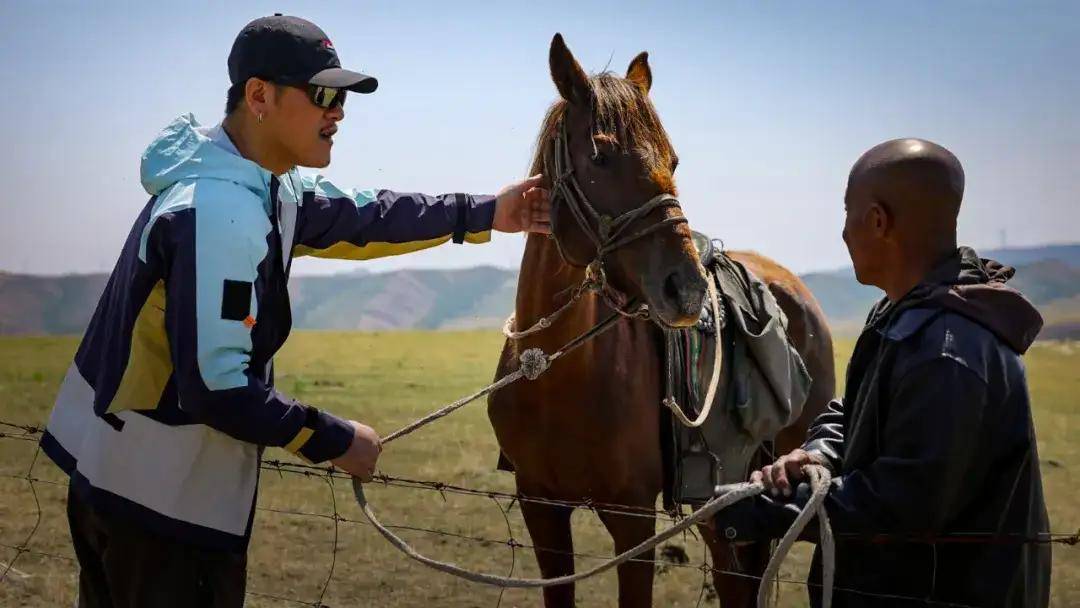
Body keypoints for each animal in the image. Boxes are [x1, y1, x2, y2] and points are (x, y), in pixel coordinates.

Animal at [490, 34, 833, 608]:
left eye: (673, 159)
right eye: (600, 155)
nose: (688, 289)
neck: (560, 374)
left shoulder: (633, 521)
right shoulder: (541, 507)